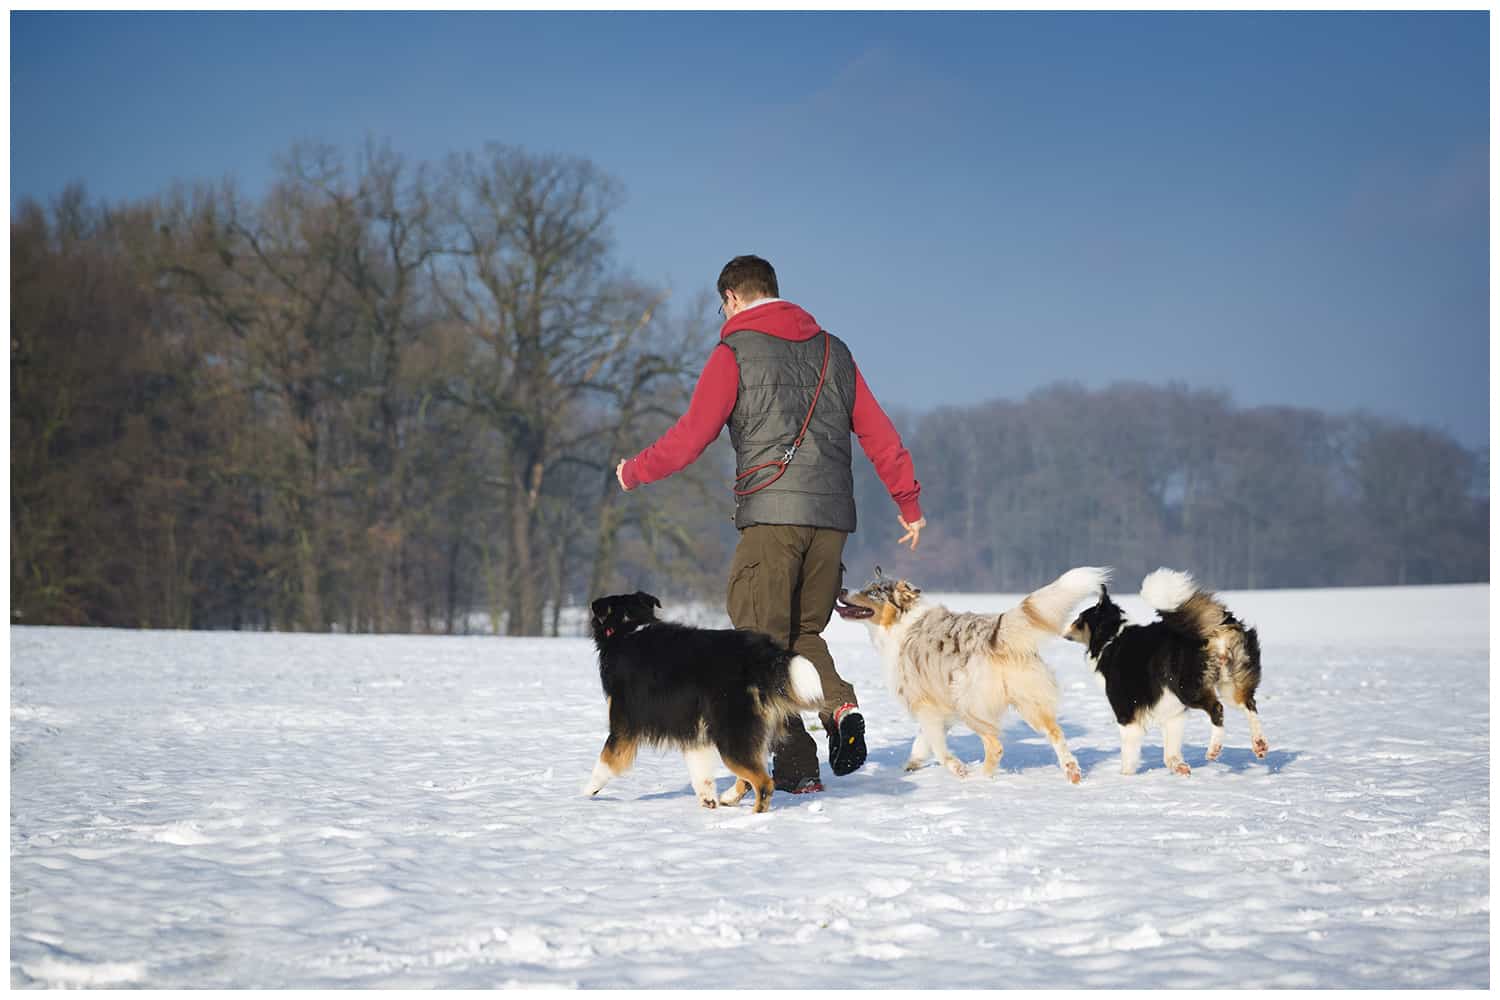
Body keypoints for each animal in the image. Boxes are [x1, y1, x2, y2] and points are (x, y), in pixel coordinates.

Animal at [582, 593, 822, 815]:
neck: (627, 628)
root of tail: (761, 655)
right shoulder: (692, 728)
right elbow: (701, 772)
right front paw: (709, 801)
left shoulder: (623, 727)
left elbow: (604, 762)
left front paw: (585, 794)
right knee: (751, 775)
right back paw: (728, 798)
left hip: (731, 733)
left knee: (764, 783)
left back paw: (754, 817)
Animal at [1068, 569, 1266, 773]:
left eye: (1080, 619)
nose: (1065, 629)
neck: (1111, 638)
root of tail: (1213, 629)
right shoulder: (1173, 712)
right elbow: (1170, 752)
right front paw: (1180, 769)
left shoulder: (1125, 712)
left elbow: (1129, 753)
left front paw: (1125, 776)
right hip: (1232, 683)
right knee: (1249, 704)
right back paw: (1259, 743)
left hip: (1189, 689)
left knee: (1217, 708)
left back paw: (1214, 749)